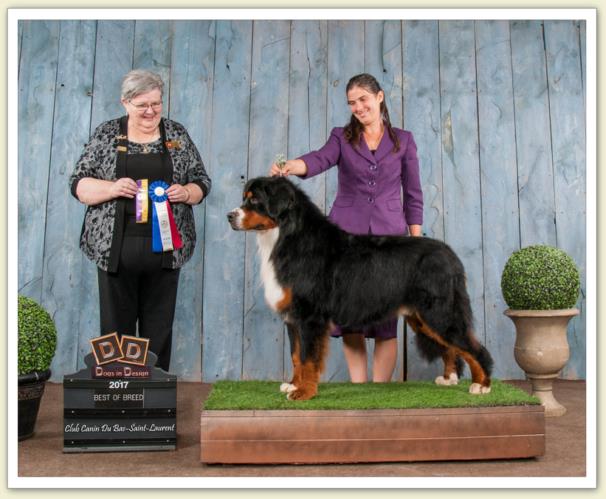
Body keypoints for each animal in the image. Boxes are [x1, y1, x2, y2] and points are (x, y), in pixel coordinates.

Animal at [228, 177, 494, 402]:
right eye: (245, 197)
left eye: (254, 200)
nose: (230, 216)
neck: (286, 236)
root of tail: (450, 254)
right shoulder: (293, 318)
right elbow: (296, 356)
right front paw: (294, 384)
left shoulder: (309, 316)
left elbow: (308, 358)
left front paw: (304, 392)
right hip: (422, 317)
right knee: (450, 347)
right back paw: (449, 378)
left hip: (439, 312)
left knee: (472, 347)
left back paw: (482, 385)